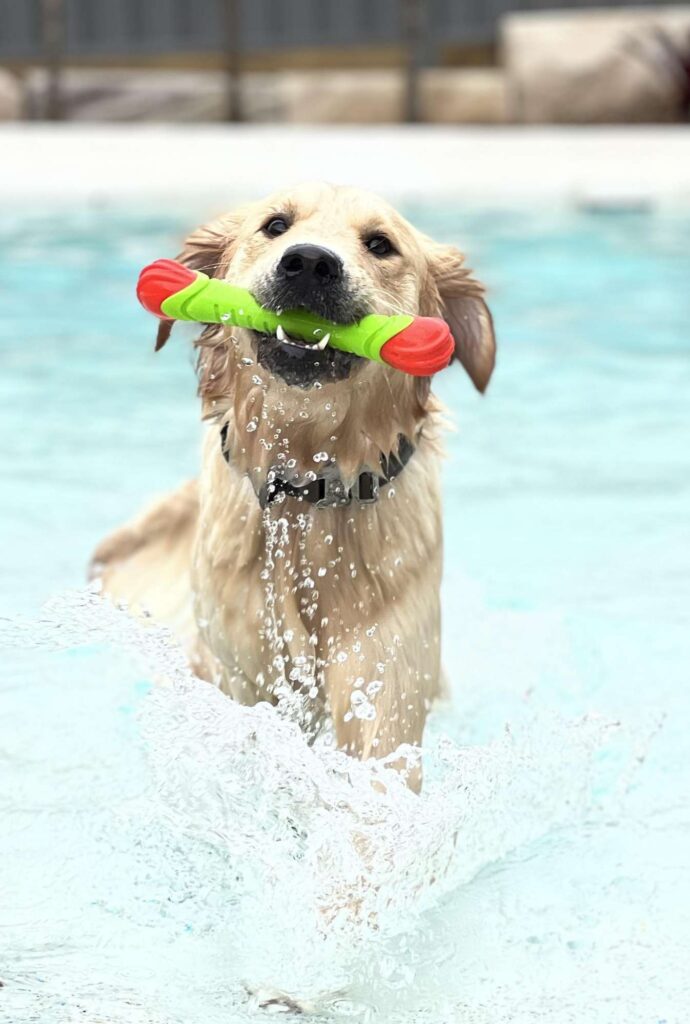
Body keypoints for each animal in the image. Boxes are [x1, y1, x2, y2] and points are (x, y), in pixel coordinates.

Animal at [91, 184, 491, 790]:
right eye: (276, 225)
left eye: (380, 244)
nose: (309, 262)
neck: (307, 492)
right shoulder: (246, 675)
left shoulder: (386, 680)